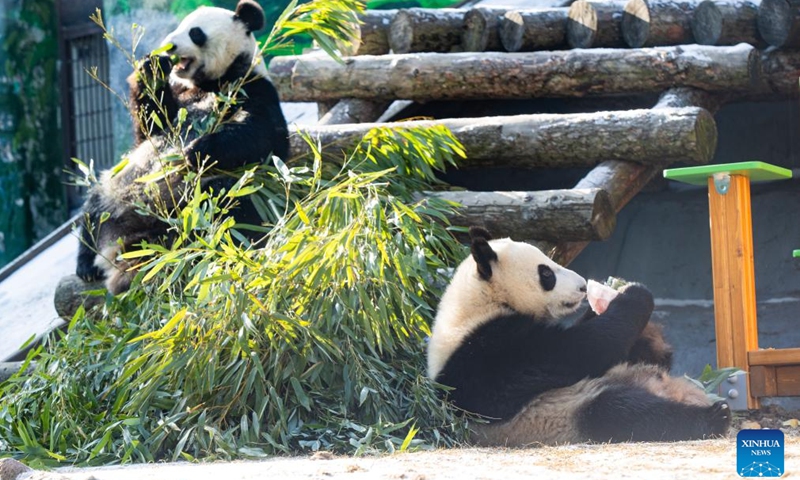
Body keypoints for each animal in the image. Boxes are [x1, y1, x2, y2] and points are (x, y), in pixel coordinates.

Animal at [75, 0, 289, 294]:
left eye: (195, 32)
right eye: (177, 26)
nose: (169, 47)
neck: (210, 82)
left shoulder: (252, 89)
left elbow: (259, 135)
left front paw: (195, 151)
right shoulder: (176, 102)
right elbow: (151, 123)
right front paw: (152, 67)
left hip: (200, 201)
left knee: (223, 200)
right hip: (115, 188)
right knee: (93, 208)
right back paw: (87, 265)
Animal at [427, 226, 731, 446]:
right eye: (546, 272)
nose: (583, 286)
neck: (481, 302)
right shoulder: (484, 354)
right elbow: (577, 351)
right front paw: (634, 294)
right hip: (569, 411)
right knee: (625, 413)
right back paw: (715, 416)